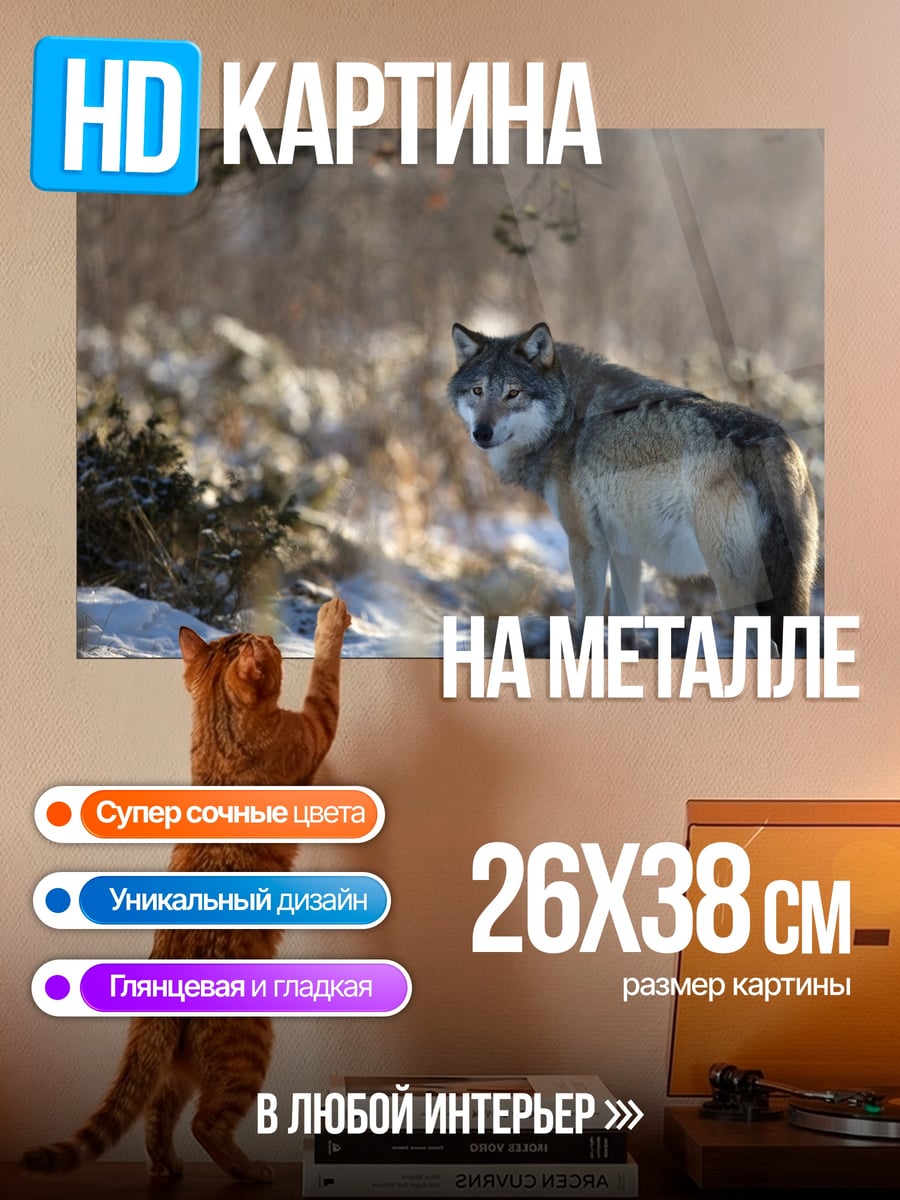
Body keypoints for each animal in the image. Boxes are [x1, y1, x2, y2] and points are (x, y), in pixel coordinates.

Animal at [448, 322, 818, 651]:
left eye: (513, 393)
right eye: (477, 391)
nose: (481, 432)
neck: (566, 415)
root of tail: (768, 441)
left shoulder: (586, 545)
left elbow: (587, 627)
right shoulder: (624, 550)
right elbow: (624, 628)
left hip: (731, 585)